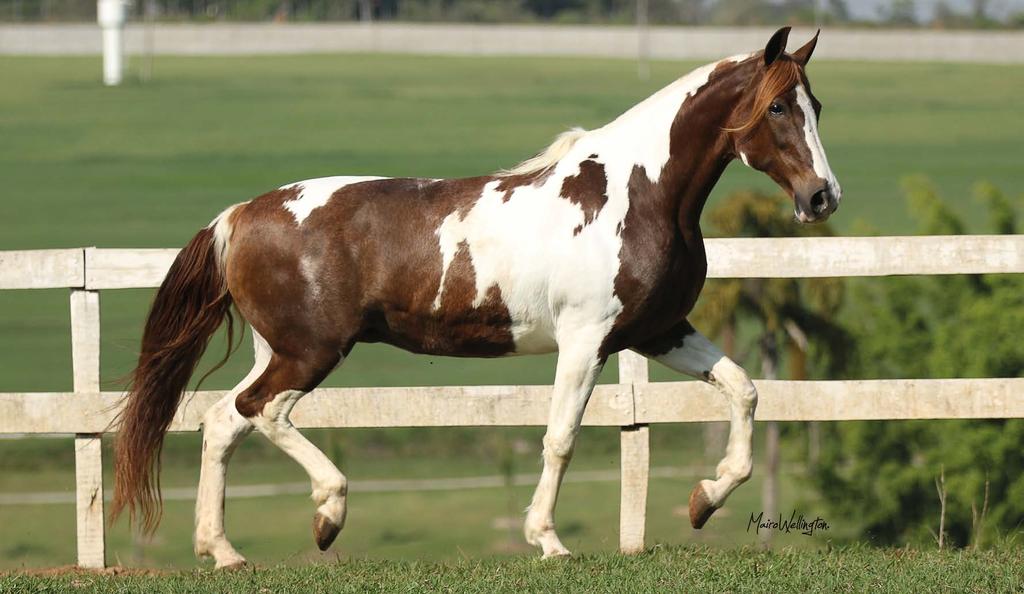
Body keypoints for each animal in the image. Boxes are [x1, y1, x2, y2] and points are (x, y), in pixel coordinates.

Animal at [112, 27, 839, 565]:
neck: (641, 194)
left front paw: (704, 500)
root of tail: (238, 216)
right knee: (260, 412)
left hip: (281, 349)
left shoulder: (658, 330)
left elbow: (744, 389)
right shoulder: (586, 339)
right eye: (778, 107)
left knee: (221, 422)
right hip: (311, 351)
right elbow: (560, 437)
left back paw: (224, 552)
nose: (821, 197)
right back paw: (327, 514)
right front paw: (548, 540)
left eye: (818, 107)